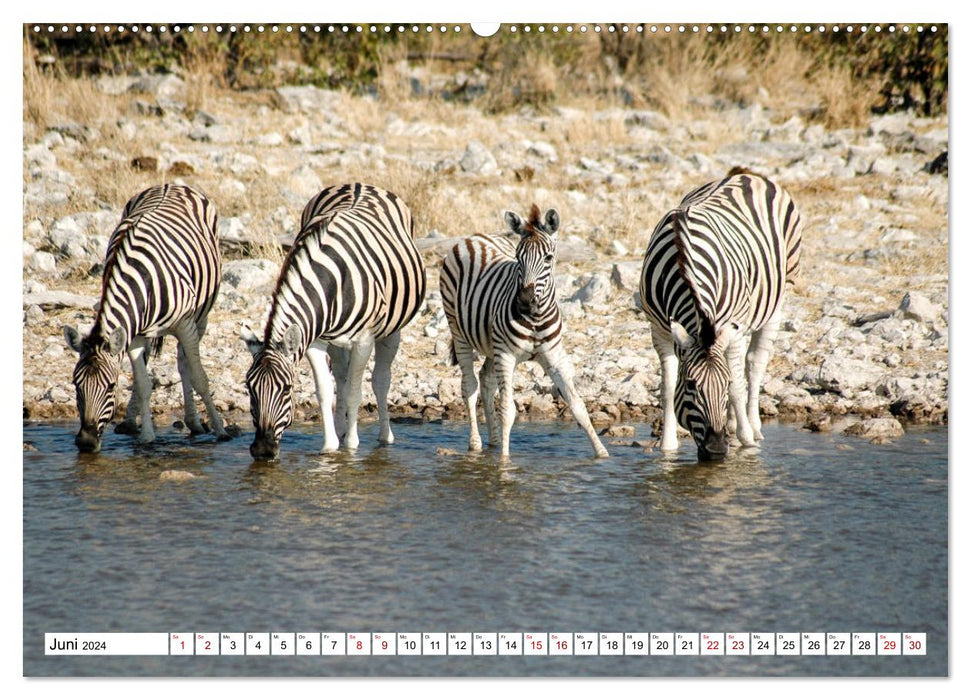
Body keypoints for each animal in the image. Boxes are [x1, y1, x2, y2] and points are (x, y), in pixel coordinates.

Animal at [64, 183, 232, 452]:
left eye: (111, 386)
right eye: (75, 384)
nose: (86, 443)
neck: (140, 279)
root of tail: (170, 184)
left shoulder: (185, 325)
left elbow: (200, 377)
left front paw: (220, 430)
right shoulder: (134, 334)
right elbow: (143, 384)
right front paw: (146, 437)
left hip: (200, 319)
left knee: (184, 362)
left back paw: (195, 422)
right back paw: (132, 421)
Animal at [240, 182, 426, 460]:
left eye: (286, 389)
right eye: (249, 389)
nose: (263, 450)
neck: (330, 280)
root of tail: (359, 183)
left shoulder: (364, 340)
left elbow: (354, 393)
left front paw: (351, 446)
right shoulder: (314, 340)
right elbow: (325, 391)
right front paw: (330, 447)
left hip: (391, 330)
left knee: (380, 380)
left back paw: (385, 436)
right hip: (336, 339)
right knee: (341, 376)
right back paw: (340, 429)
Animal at [440, 202, 608, 460]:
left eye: (548, 258)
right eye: (518, 258)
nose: (524, 302)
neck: (536, 318)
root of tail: (474, 237)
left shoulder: (554, 356)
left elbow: (577, 405)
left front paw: (602, 453)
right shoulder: (506, 356)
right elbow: (508, 410)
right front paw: (504, 461)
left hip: (491, 345)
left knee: (486, 381)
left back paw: (494, 441)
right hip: (458, 331)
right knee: (469, 386)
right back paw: (476, 444)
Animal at [636, 170, 804, 460]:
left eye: (723, 385)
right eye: (690, 385)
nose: (715, 450)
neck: (683, 259)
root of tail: (748, 175)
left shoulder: (731, 327)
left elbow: (737, 385)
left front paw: (746, 439)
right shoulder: (658, 329)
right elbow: (667, 387)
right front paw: (667, 447)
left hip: (778, 297)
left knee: (754, 363)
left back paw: (752, 426)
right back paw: (735, 423)